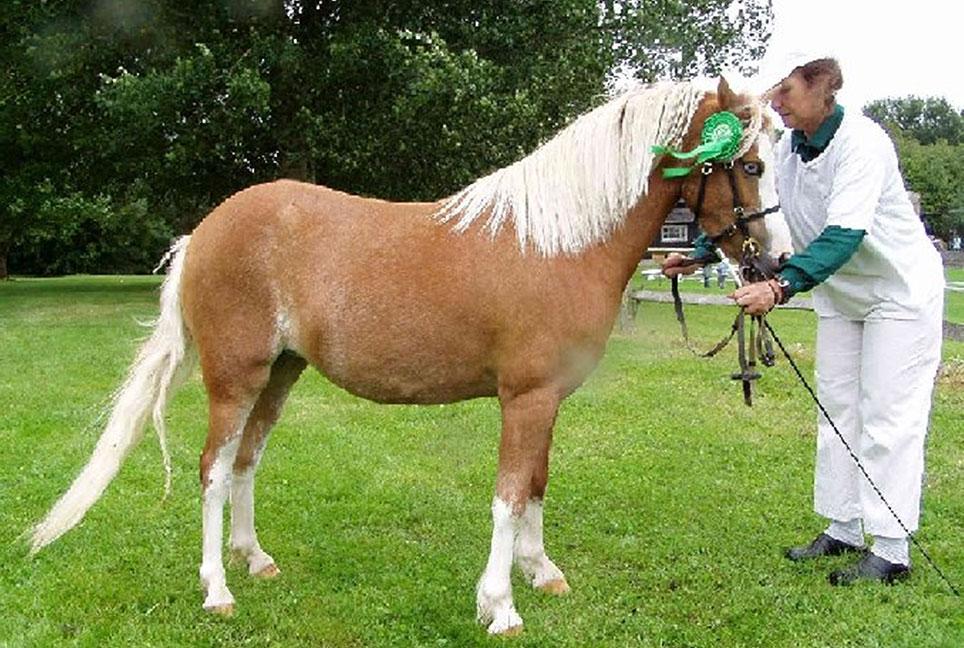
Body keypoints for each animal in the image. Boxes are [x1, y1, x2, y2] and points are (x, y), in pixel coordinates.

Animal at [30, 78, 776, 636]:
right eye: (751, 164)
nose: (769, 264)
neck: (559, 241)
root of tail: (206, 229)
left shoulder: (547, 401)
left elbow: (536, 486)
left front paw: (543, 573)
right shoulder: (526, 398)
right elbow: (508, 496)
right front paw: (500, 606)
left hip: (280, 374)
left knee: (246, 462)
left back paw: (254, 559)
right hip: (235, 377)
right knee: (213, 470)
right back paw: (217, 589)